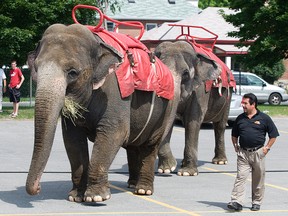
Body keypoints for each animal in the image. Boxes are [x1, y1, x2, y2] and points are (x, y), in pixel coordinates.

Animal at [25, 24, 182, 203]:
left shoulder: (116, 93)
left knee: (150, 144)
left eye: (72, 72)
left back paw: (143, 190)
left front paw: (96, 197)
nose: (38, 188)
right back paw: (132, 184)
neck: (97, 41)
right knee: (133, 145)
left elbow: (114, 132)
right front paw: (75, 197)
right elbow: (72, 139)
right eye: (36, 68)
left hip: (165, 108)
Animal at [154, 40, 235, 176]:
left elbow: (193, 120)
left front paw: (187, 173)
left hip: (228, 95)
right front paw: (166, 169)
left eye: (186, 74)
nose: (173, 164)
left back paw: (220, 161)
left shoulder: (200, 90)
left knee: (220, 126)